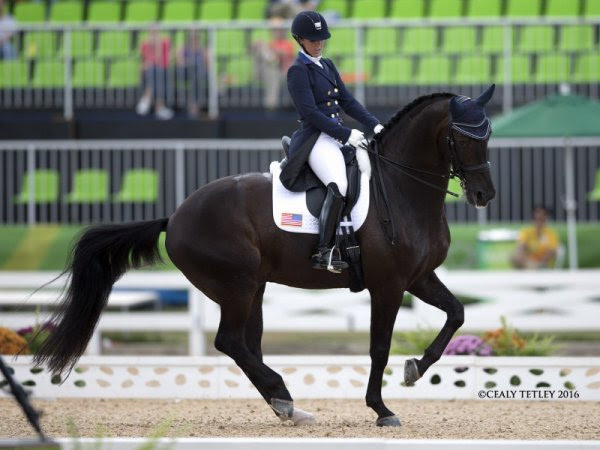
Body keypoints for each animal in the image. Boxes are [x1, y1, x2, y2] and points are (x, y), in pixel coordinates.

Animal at [32, 85, 496, 428]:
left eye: (487, 135)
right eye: (461, 137)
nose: (484, 195)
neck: (401, 188)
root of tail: (176, 216)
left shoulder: (418, 277)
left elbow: (456, 314)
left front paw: (416, 367)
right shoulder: (388, 285)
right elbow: (379, 346)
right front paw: (382, 409)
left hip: (252, 287)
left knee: (246, 345)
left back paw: (287, 404)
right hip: (235, 286)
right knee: (231, 341)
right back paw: (285, 397)